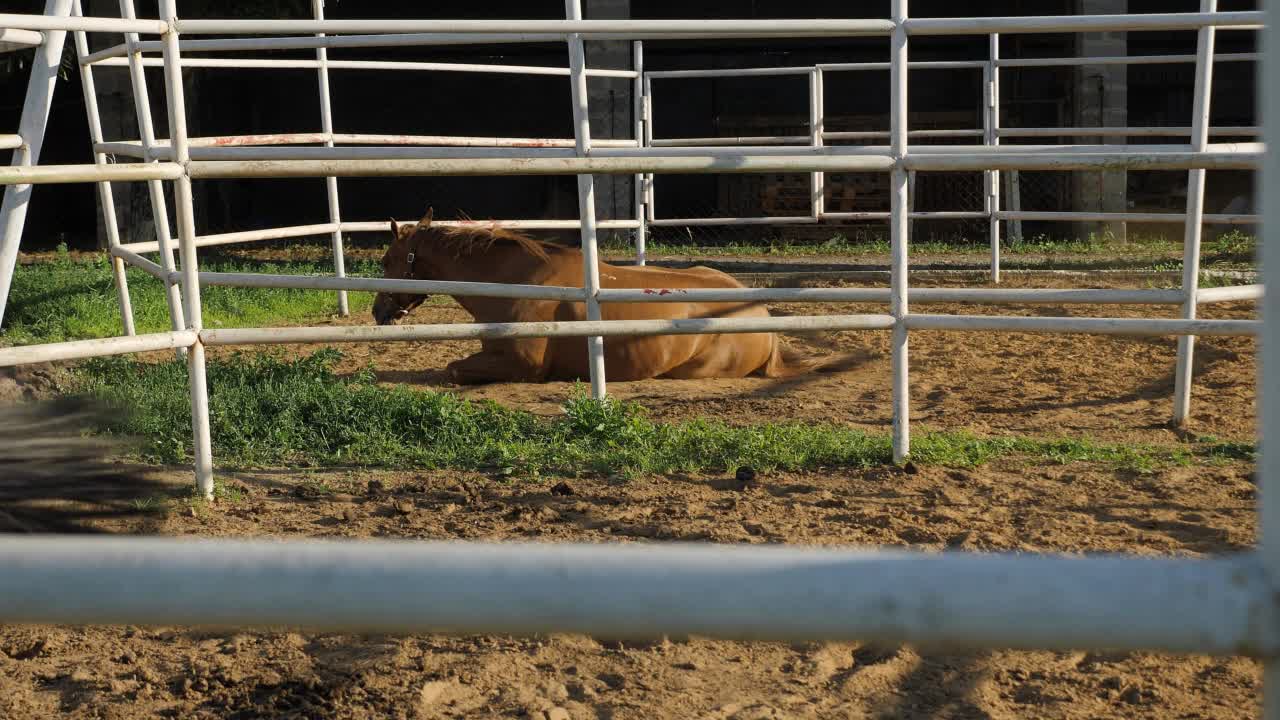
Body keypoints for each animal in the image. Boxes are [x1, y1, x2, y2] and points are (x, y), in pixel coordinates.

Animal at [371, 210, 819, 384]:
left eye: (387, 259)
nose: (378, 311)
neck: (518, 283)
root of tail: (764, 318)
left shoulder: (523, 366)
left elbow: (452, 369)